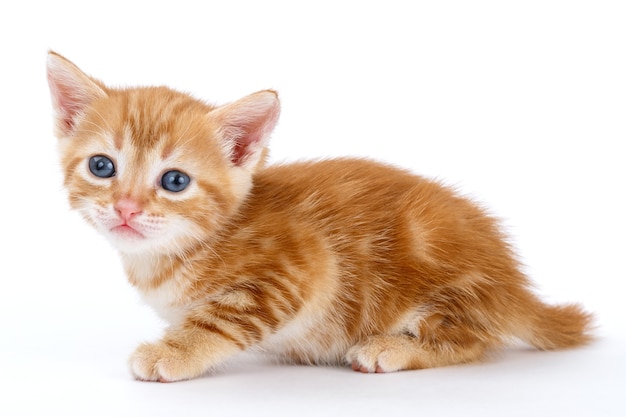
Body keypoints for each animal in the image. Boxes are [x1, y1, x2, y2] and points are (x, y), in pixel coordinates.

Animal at [45, 51, 588, 380]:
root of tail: (514, 286)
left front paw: (173, 352)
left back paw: (394, 348)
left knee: (473, 340)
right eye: (101, 166)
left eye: (174, 181)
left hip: (446, 274)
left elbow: (221, 320)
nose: (126, 207)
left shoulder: (301, 266)